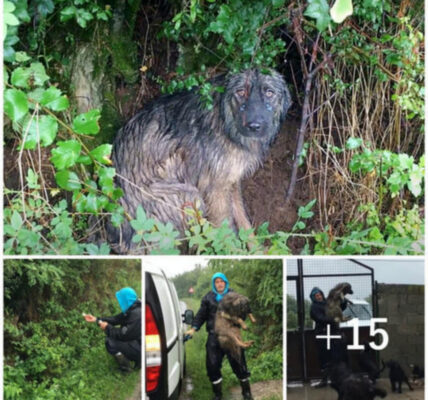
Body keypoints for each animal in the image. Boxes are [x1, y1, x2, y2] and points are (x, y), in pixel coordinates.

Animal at [106, 69, 290, 253]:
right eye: (240, 92)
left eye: (269, 92)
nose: (254, 126)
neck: (224, 119)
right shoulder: (216, 188)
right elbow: (226, 230)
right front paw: (232, 252)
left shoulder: (231, 181)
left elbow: (243, 220)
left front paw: (256, 250)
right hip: (186, 193)